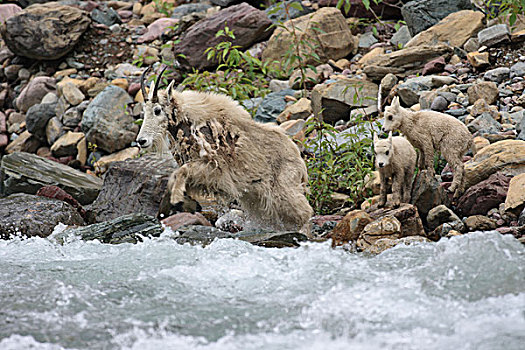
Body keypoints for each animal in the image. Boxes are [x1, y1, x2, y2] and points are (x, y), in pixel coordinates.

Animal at [137, 68, 314, 232]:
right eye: (144, 111)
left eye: (157, 110)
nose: (141, 141)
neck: (190, 123)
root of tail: (300, 162)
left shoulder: (214, 170)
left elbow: (180, 173)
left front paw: (178, 200)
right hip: (258, 199)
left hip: (284, 190)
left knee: (303, 213)